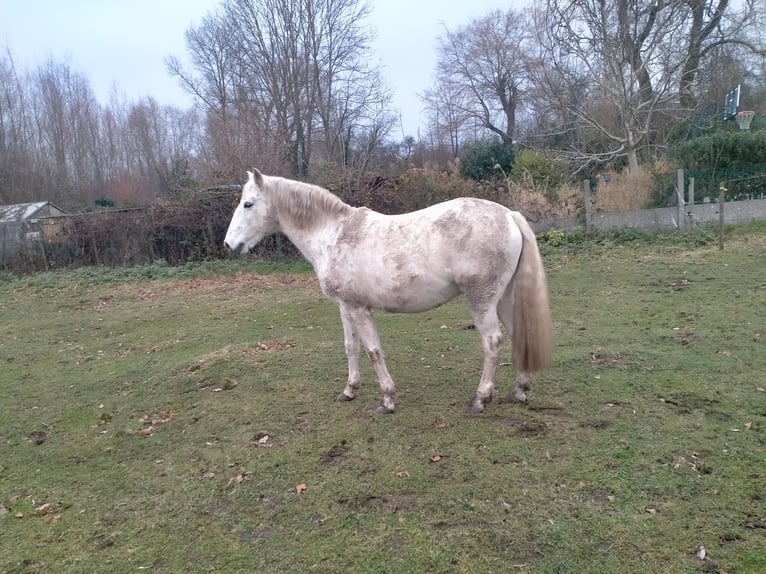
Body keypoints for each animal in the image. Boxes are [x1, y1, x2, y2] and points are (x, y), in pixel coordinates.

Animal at [225, 169, 556, 416]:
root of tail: (509, 215)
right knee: (518, 335)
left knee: (492, 342)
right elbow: (351, 347)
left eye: (248, 204)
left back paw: (480, 398)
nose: (229, 244)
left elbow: (373, 351)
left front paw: (387, 399)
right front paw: (349, 390)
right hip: (504, 298)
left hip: (482, 300)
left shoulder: (358, 308)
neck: (334, 234)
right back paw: (519, 391)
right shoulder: (345, 306)